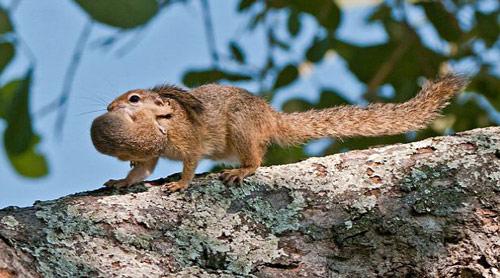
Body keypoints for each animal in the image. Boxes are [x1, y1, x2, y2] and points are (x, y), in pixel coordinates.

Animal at [91, 74, 468, 191]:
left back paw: (243, 169)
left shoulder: (188, 139)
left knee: (256, 158)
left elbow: (190, 161)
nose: (109, 106)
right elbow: (142, 170)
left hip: (242, 130)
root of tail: (269, 117)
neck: (163, 121)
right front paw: (122, 181)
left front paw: (181, 184)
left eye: (134, 99)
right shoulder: (151, 153)